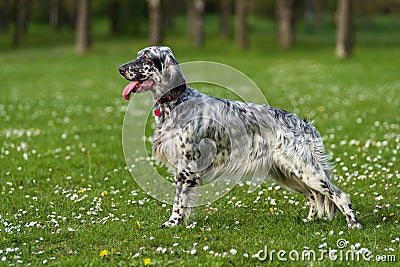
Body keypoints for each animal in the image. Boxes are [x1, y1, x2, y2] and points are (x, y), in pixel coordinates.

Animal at [119, 45, 362, 228]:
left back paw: (354, 224)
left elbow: (179, 201)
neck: (177, 102)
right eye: (138, 55)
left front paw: (172, 223)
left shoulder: (186, 168)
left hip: (306, 170)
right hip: (289, 173)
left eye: (147, 57)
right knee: (313, 196)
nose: (121, 68)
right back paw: (309, 221)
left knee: (339, 194)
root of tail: (303, 124)